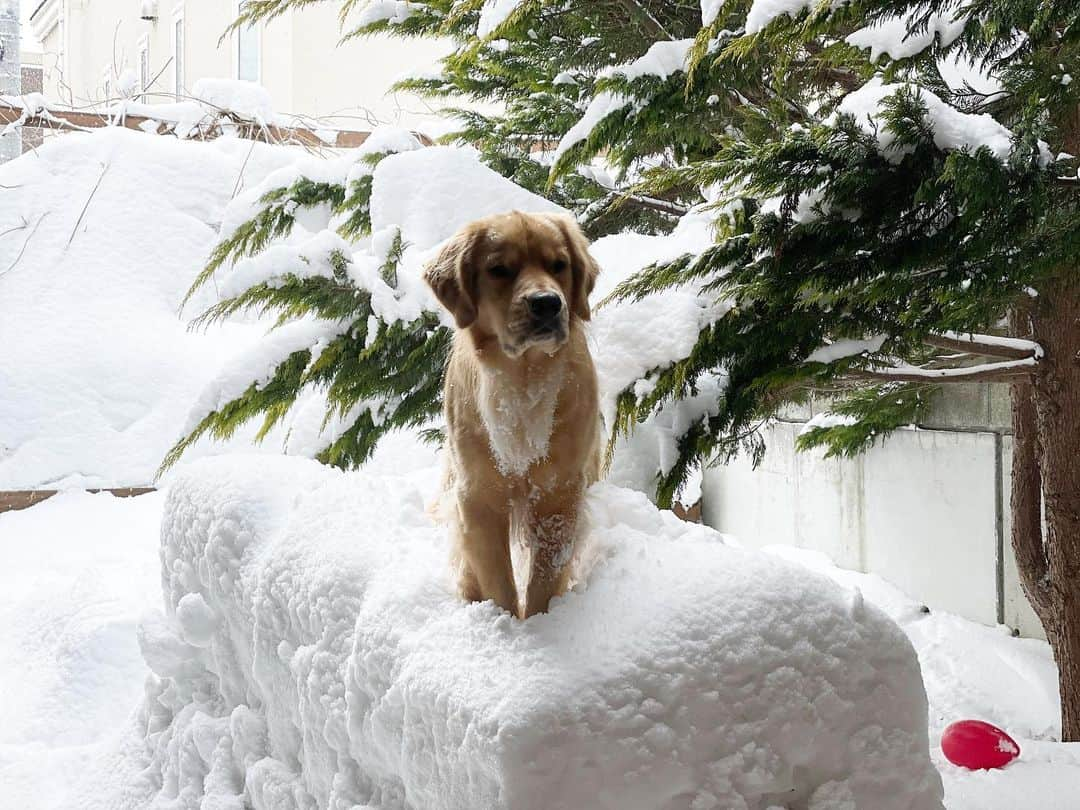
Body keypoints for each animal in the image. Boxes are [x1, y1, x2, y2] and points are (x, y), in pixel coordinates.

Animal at [425, 212, 604, 617]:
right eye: (499, 269)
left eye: (559, 265)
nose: (547, 303)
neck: (524, 378)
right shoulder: (479, 496)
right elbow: (498, 581)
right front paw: (504, 624)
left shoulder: (559, 493)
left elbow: (544, 580)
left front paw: (538, 622)